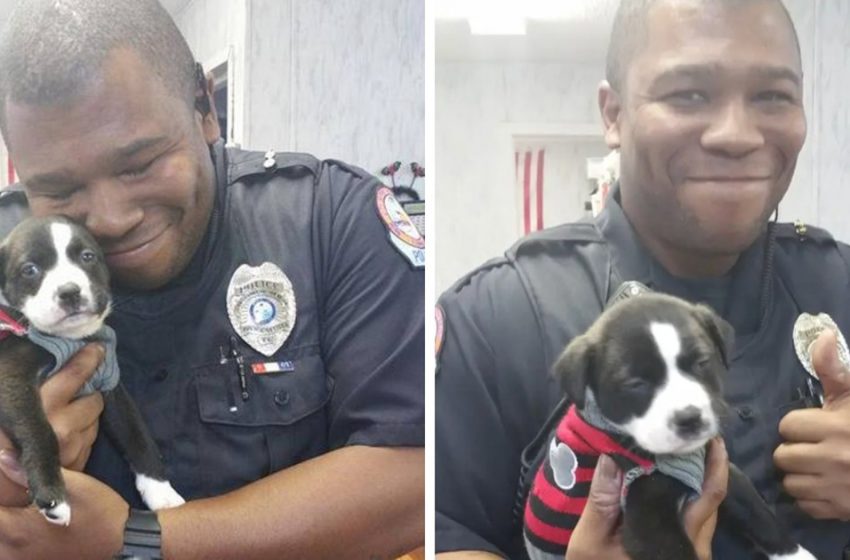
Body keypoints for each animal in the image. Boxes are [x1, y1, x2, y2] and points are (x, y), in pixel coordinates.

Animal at [0, 215, 184, 524]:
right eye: (30, 270)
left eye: (87, 257)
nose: (69, 292)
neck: (70, 339)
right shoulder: (12, 378)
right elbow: (41, 431)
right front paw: (52, 494)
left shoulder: (109, 382)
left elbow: (136, 432)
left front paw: (160, 490)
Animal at [520, 294, 812, 560]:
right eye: (636, 384)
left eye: (702, 362)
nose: (689, 418)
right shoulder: (648, 522)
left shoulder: (720, 468)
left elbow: (757, 511)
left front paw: (796, 555)